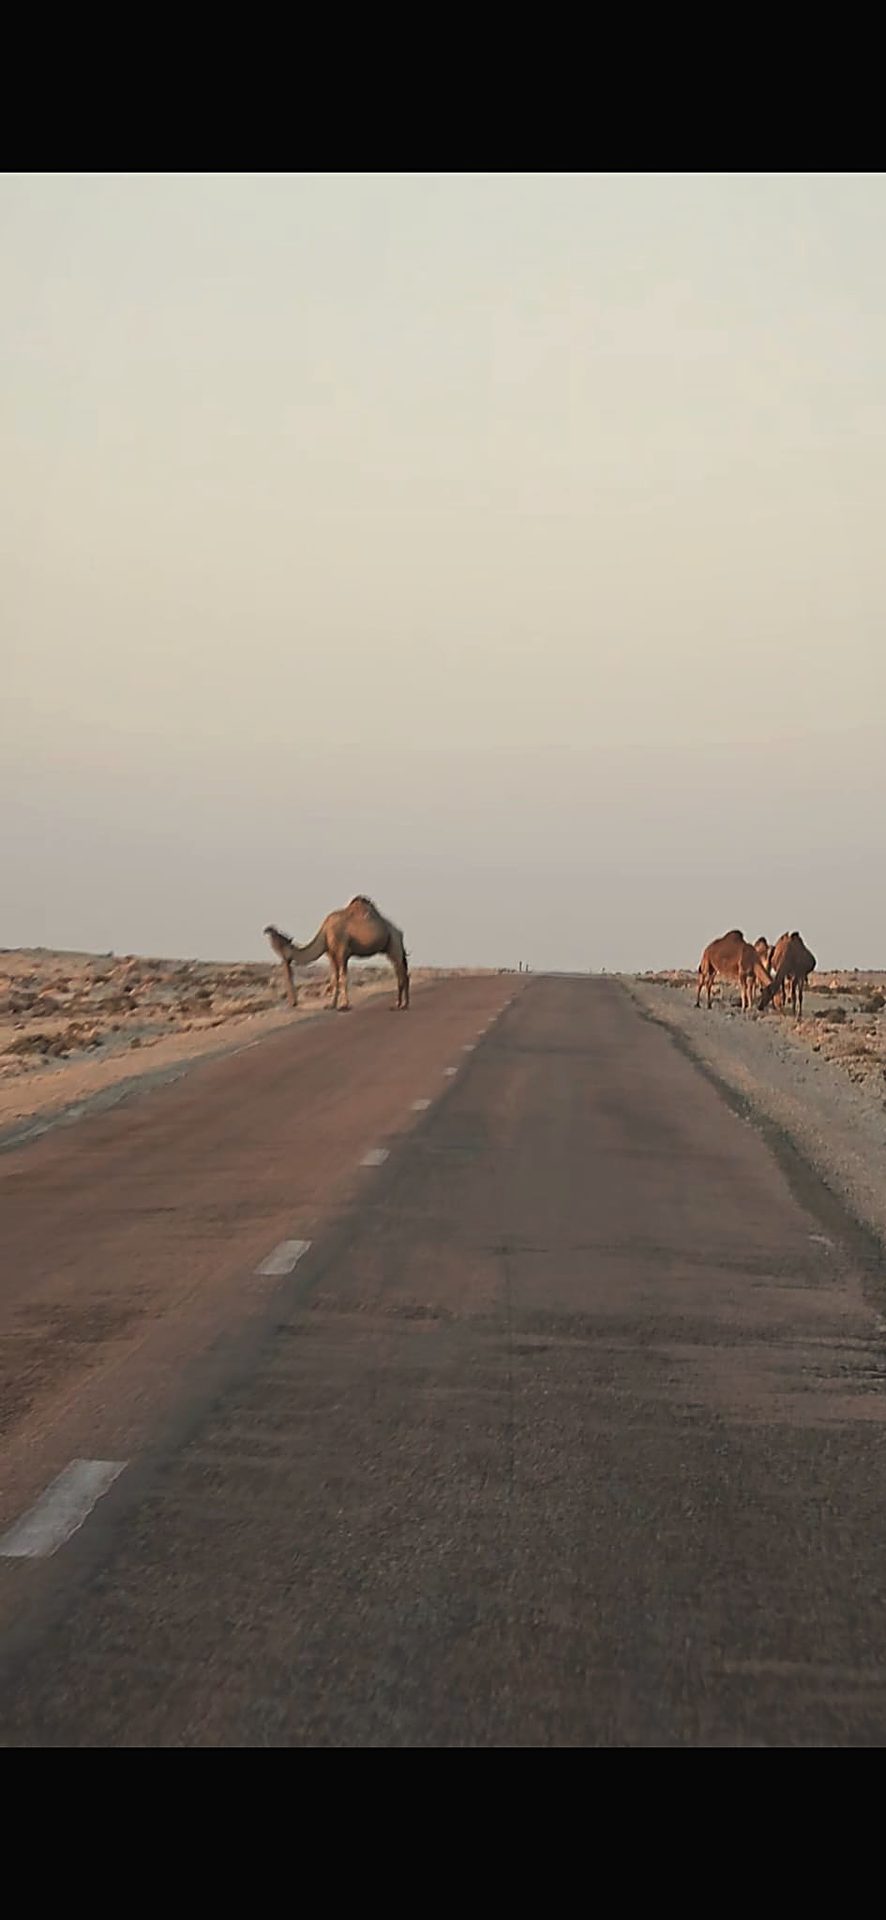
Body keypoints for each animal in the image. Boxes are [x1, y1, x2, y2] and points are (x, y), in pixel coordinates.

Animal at [264, 896, 409, 1012]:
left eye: (277, 942)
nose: (293, 1003)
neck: (325, 932)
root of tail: (399, 932)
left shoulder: (342, 951)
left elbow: (342, 978)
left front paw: (344, 1006)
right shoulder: (331, 954)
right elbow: (334, 978)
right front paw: (331, 1005)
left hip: (394, 943)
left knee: (401, 973)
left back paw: (400, 1005)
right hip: (391, 947)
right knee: (401, 972)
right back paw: (403, 1004)